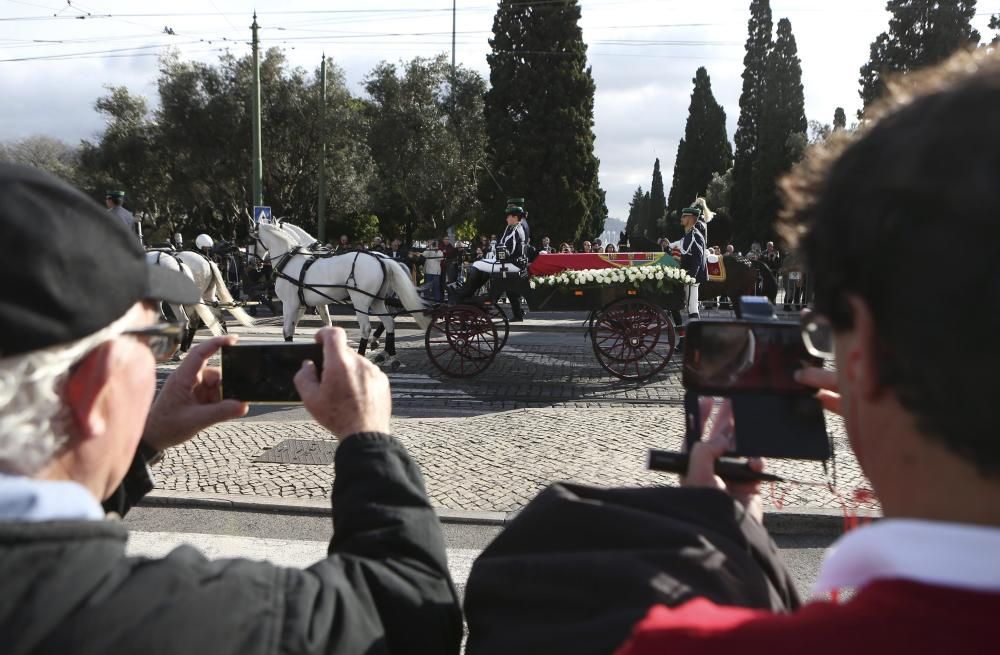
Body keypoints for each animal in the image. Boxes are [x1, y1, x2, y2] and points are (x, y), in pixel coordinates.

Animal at [250, 223, 430, 368]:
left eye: (249, 240)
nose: (251, 263)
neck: (291, 261)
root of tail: (383, 260)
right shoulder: (302, 305)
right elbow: (307, 326)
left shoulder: (290, 304)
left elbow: (287, 330)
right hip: (377, 301)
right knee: (389, 322)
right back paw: (391, 356)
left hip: (360, 301)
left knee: (366, 328)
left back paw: (362, 356)